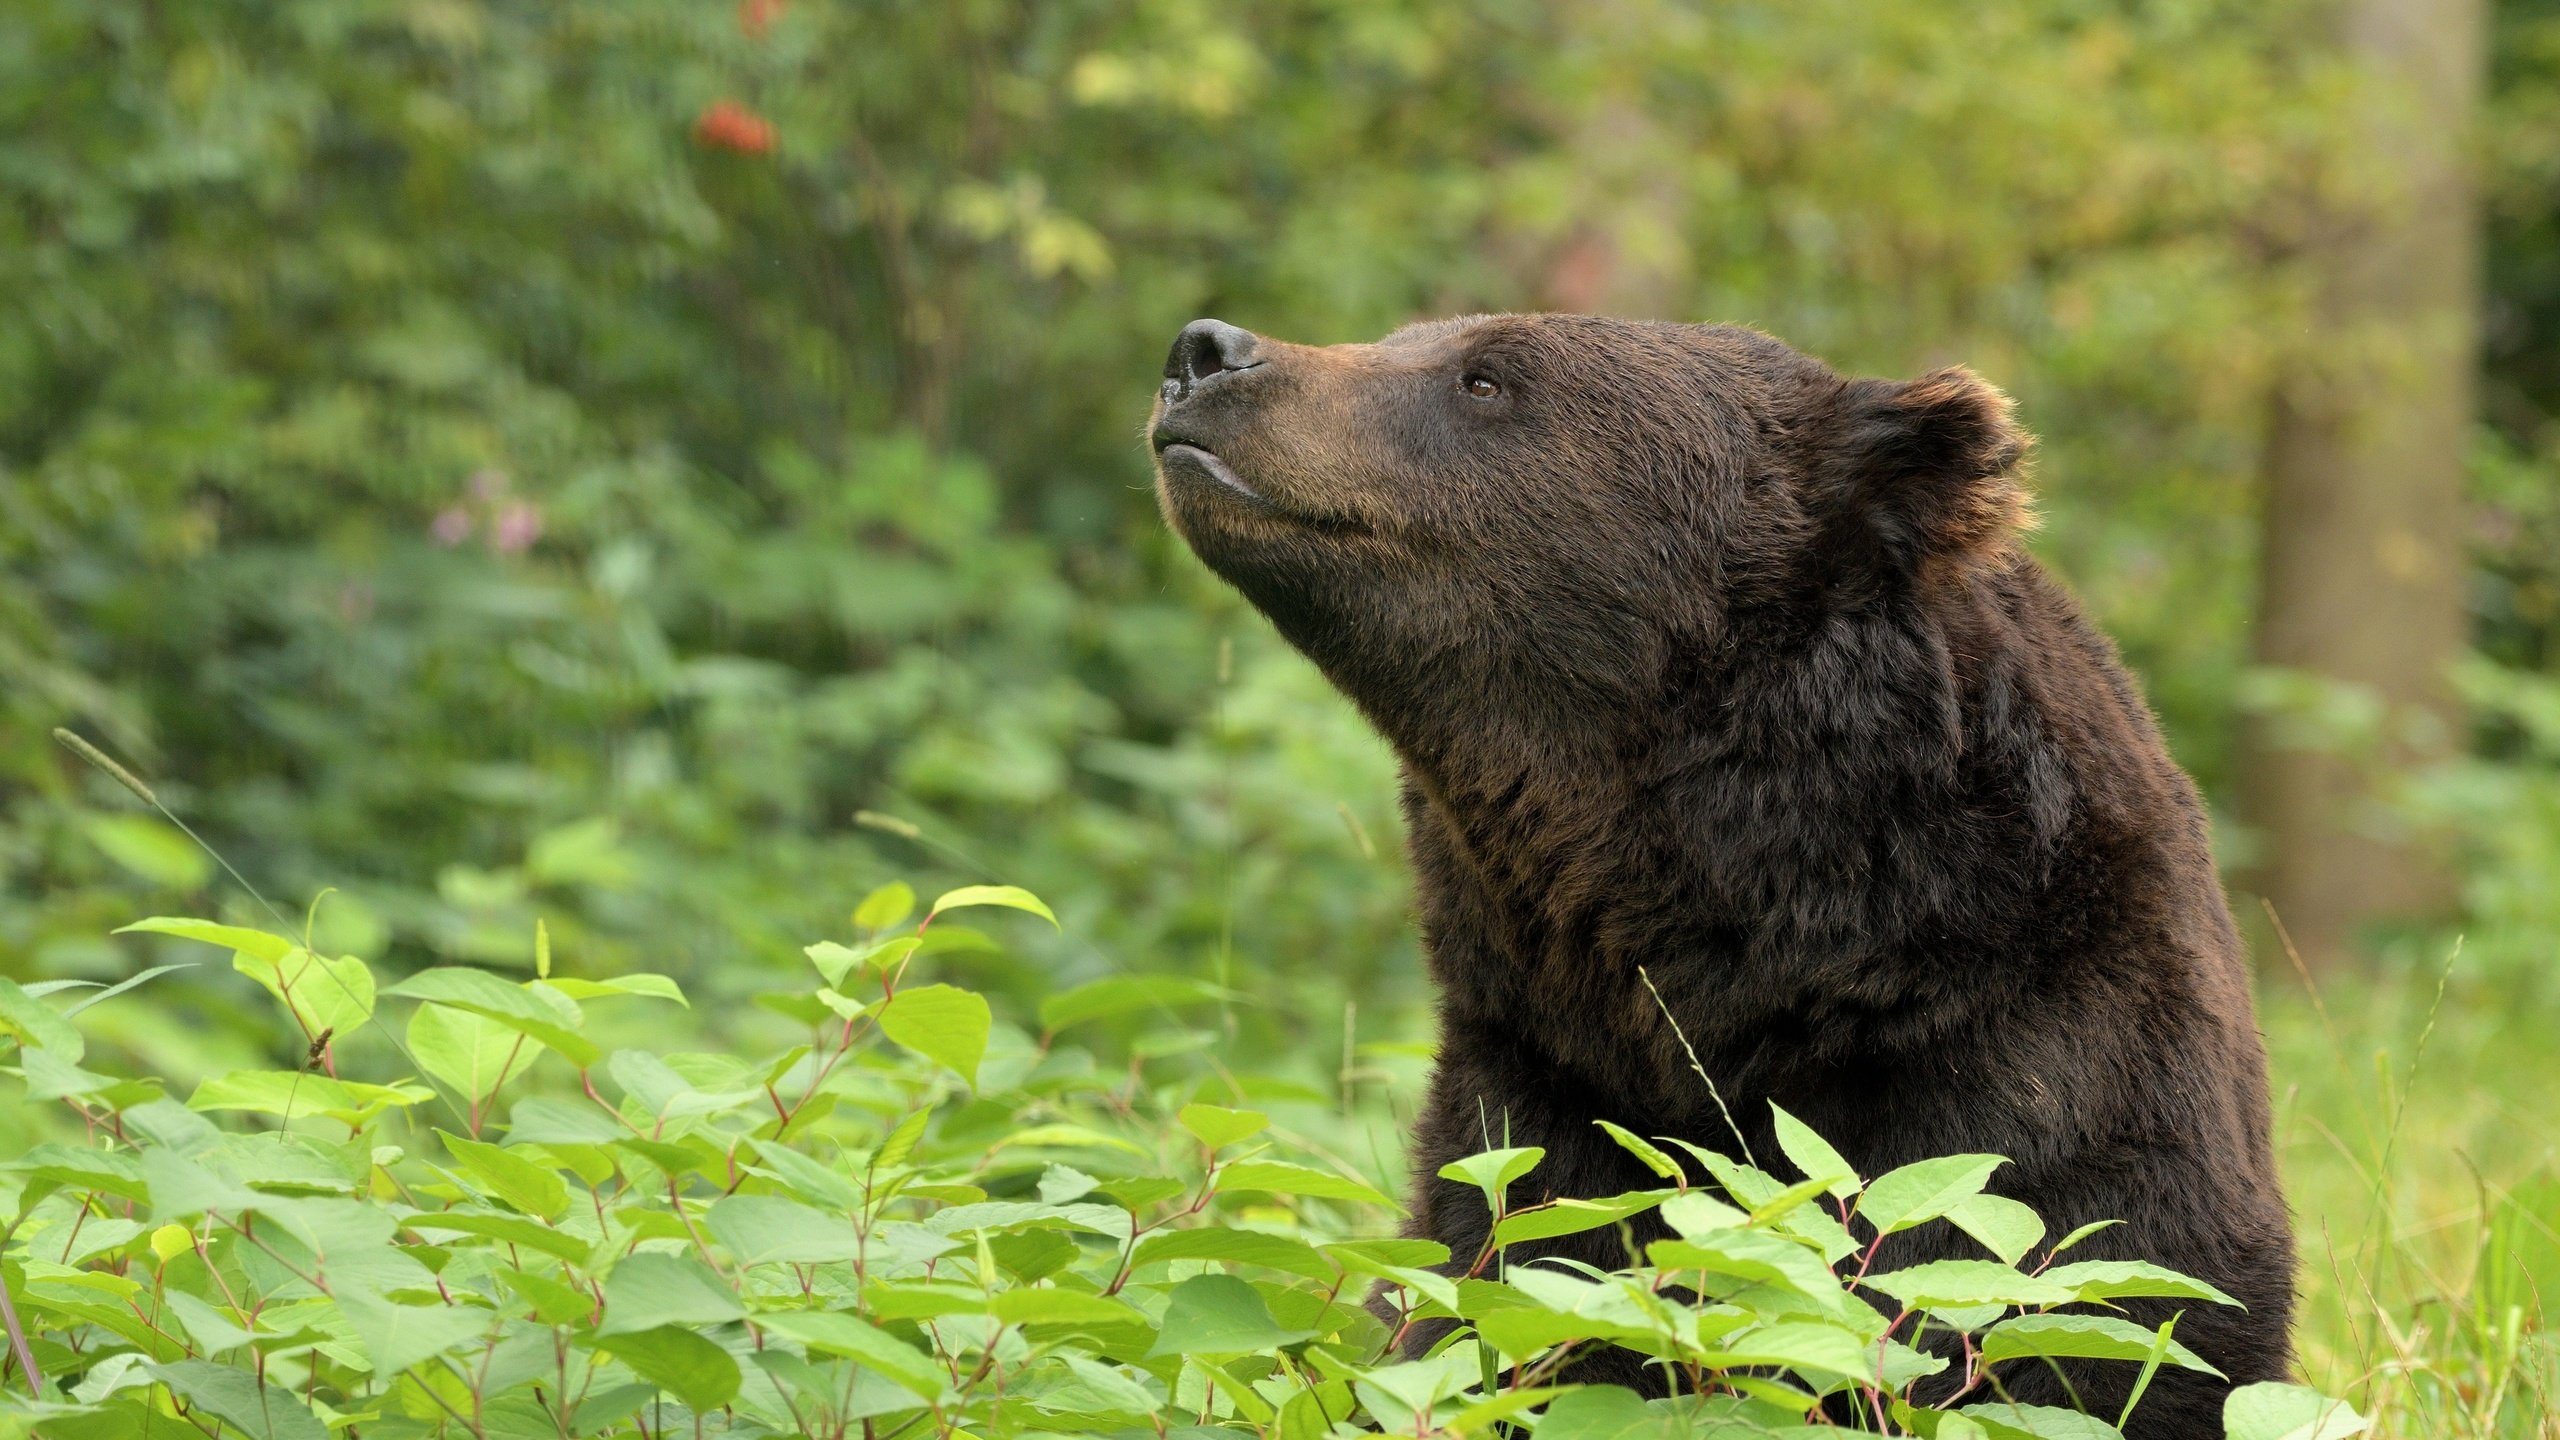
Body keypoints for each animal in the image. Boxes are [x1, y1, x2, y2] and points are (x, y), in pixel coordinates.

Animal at [1152, 311, 2293, 1424]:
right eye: (1405, 337)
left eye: (1486, 377)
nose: (1204, 351)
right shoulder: (1538, 1076)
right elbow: (1505, 1282)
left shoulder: (2040, 1079)